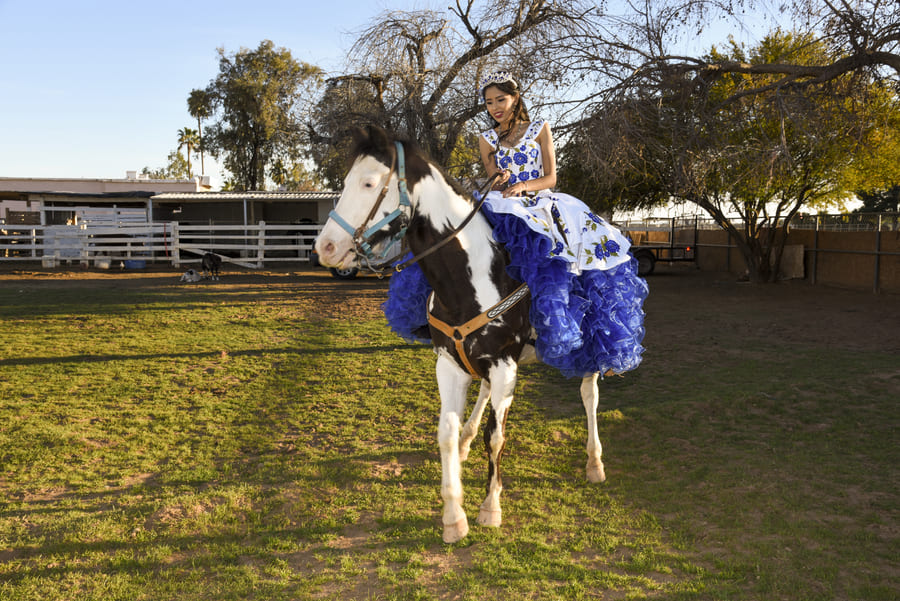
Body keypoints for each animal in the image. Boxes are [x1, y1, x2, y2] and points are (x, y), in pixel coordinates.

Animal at [312, 126, 608, 544]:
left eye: (368, 183)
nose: (325, 247)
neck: (474, 276)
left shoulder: (504, 365)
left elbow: (496, 437)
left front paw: (490, 507)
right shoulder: (450, 365)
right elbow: (446, 433)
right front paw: (454, 516)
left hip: (589, 350)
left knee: (589, 394)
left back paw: (594, 462)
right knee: (482, 397)